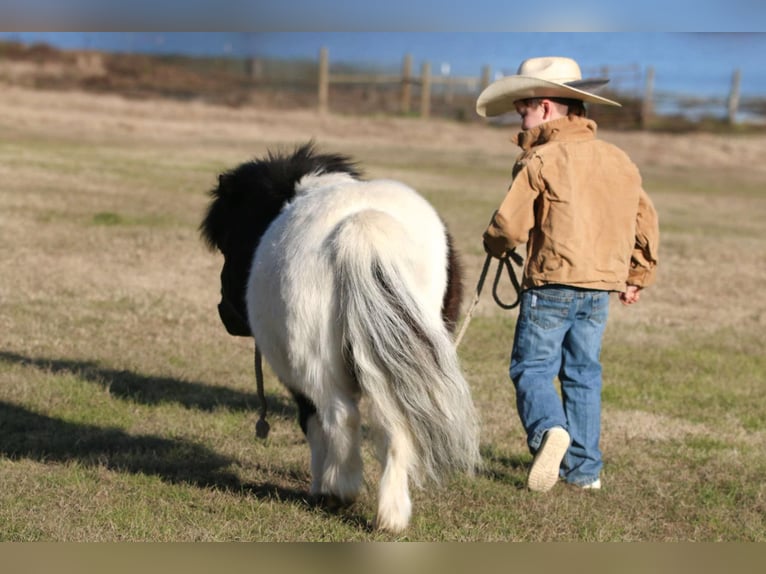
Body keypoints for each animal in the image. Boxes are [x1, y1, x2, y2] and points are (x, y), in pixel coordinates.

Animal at [201, 142, 484, 532]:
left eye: (229, 241)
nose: (226, 314)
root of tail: (360, 228)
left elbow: (312, 425)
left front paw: (320, 485)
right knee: (394, 423)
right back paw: (391, 515)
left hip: (314, 363)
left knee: (339, 416)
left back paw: (339, 492)